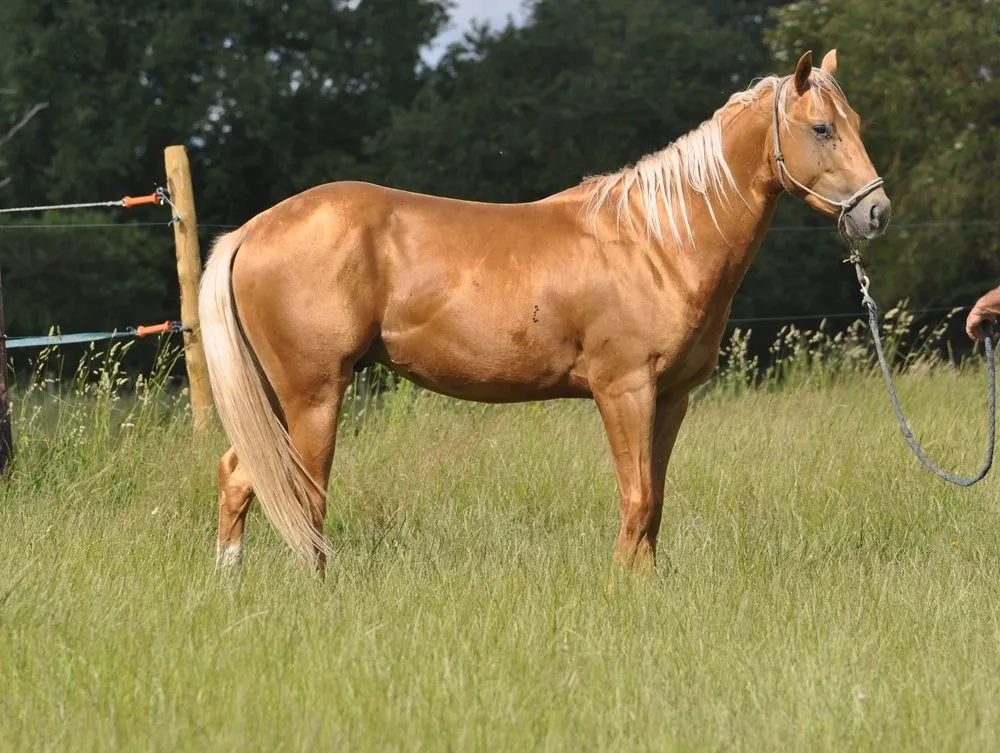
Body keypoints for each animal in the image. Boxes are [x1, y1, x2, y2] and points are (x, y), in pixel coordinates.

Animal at [200, 49, 890, 576]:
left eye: (856, 120)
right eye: (821, 128)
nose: (876, 212)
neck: (657, 241)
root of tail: (254, 230)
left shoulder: (671, 398)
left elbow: (656, 501)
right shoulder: (624, 390)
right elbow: (637, 498)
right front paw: (618, 591)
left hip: (280, 395)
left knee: (239, 475)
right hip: (314, 394)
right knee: (303, 495)